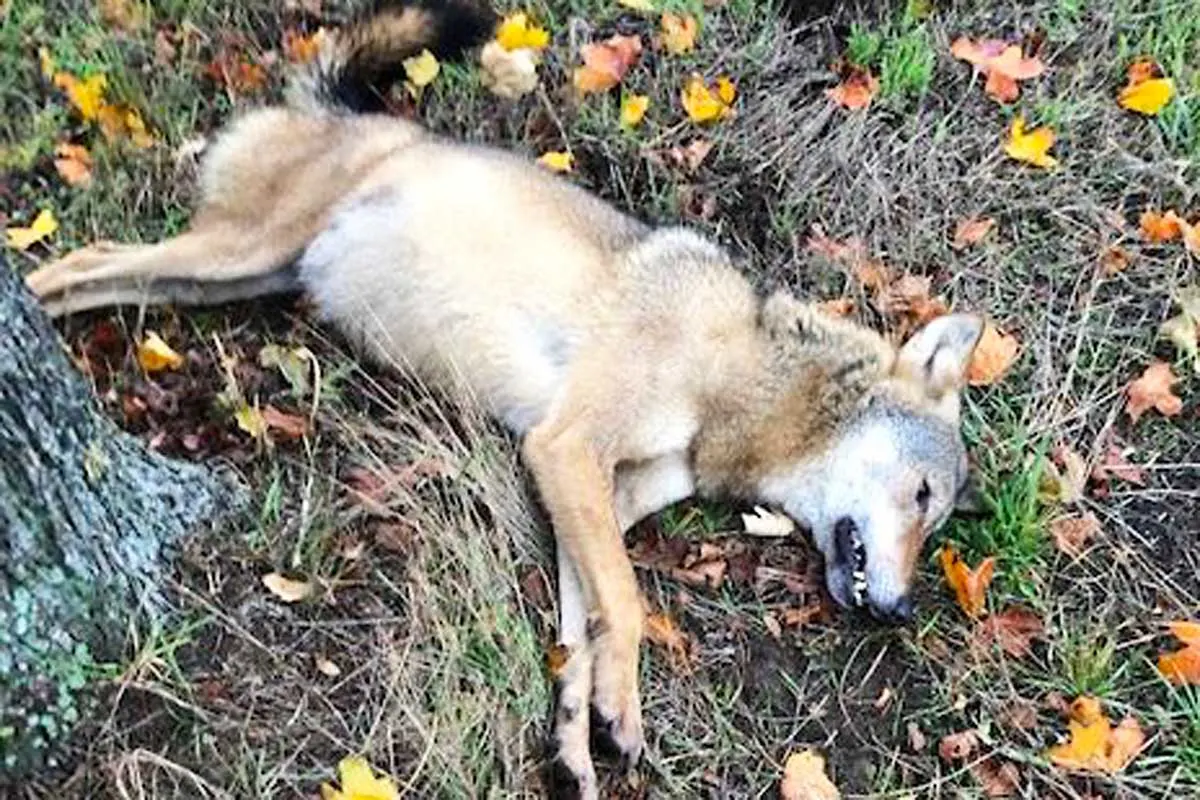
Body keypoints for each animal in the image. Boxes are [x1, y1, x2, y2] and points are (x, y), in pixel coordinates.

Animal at [25, 1, 984, 795]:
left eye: (933, 521)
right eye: (922, 497)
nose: (899, 612)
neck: (739, 379)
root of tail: (344, 113)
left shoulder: (593, 496)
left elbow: (581, 627)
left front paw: (575, 737)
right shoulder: (565, 449)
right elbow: (628, 607)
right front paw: (622, 710)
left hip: (224, 279)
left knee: (93, 278)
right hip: (232, 253)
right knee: (74, 263)